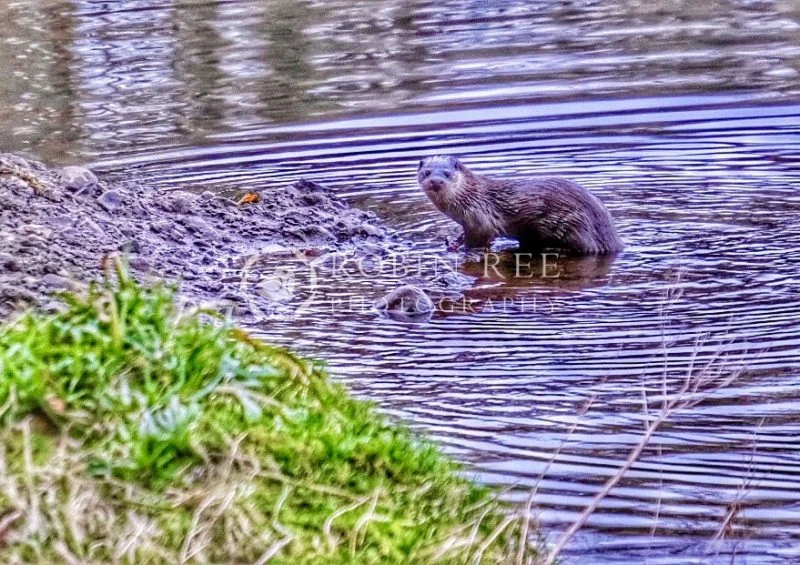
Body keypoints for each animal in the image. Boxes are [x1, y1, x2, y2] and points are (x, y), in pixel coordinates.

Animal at [417, 155, 623, 255]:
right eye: (427, 172)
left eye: (447, 173)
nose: (436, 181)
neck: (470, 197)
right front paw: (453, 241)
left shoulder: (480, 221)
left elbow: (477, 242)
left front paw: (457, 249)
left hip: (577, 228)